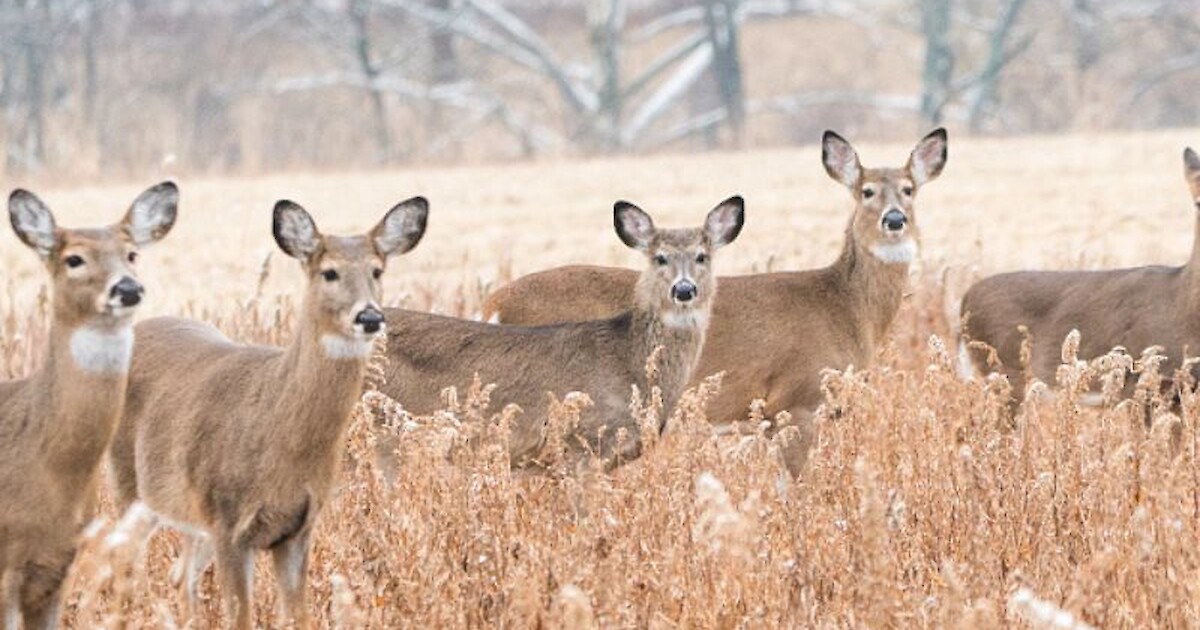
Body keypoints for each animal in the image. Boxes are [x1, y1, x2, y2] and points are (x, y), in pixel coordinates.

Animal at [106, 196, 428, 629]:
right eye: (329, 272)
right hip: (130, 485)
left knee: (180, 574)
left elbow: (297, 617)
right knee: (125, 568)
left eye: (377, 270)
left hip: (189, 511)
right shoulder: (229, 523)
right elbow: (240, 617)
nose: (370, 316)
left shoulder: (297, 528)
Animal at [482, 130, 948, 475]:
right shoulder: (797, 399)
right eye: (866, 191)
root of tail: (493, 302)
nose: (894, 220)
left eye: (909, 190)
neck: (847, 309)